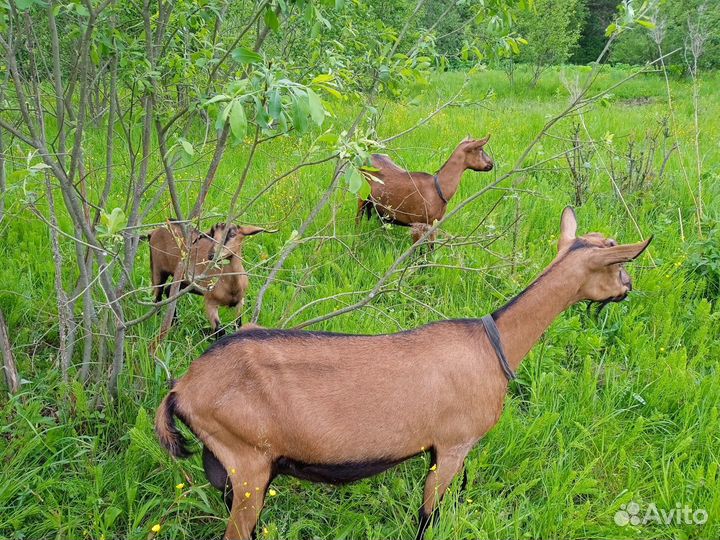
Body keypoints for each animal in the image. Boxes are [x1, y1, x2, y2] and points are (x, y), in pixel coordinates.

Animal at [156, 208, 652, 540]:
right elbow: (428, 518)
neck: (493, 346)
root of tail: (182, 388)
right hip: (249, 463)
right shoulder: (453, 444)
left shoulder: (443, 451)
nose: (629, 288)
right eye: (617, 264)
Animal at [356, 135, 492, 243]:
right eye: (480, 149)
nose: (491, 164)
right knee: (358, 219)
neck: (437, 188)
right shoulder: (417, 224)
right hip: (362, 197)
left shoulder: (433, 224)